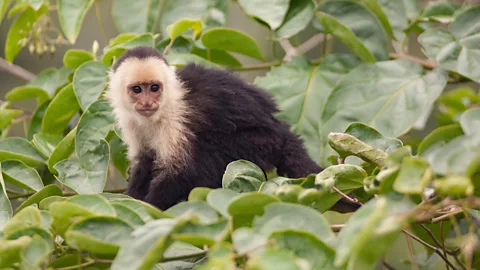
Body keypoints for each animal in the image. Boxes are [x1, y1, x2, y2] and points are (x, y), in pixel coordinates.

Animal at [106, 46, 360, 213]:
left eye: (154, 88)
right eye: (137, 89)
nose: (147, 103)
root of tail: (284, 133)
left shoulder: (175, 117)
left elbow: (180, 171)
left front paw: (149, 208)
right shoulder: (130, 120)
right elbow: (145, 159)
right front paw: (133, 197)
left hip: (262, 142)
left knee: (209, 148)